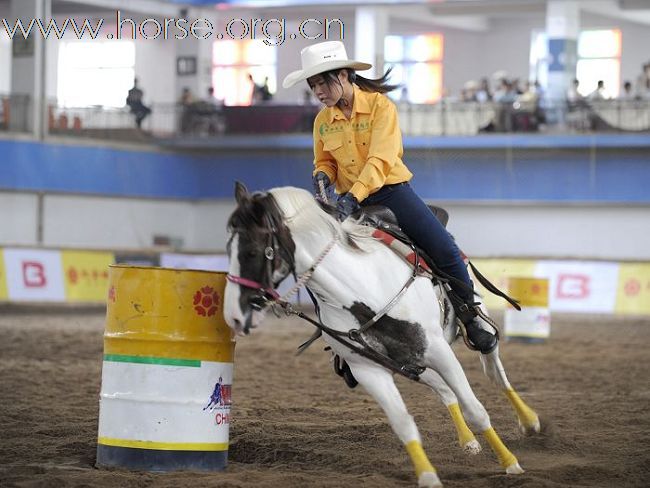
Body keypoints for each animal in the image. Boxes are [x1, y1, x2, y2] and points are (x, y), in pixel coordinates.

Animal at [221, 184, 536, 488]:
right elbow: (403, 423)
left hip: (473, 327)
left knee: (494, 370)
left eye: (251, 251)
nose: (233, 316)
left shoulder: (437, 350)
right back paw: (468, 441)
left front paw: (510, 464)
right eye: (228, 249)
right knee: (445, 391)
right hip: (412, 366)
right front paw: (428, 477)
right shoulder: (367, 369)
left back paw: (529, 422)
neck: (361, 289)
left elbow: (476, 410)